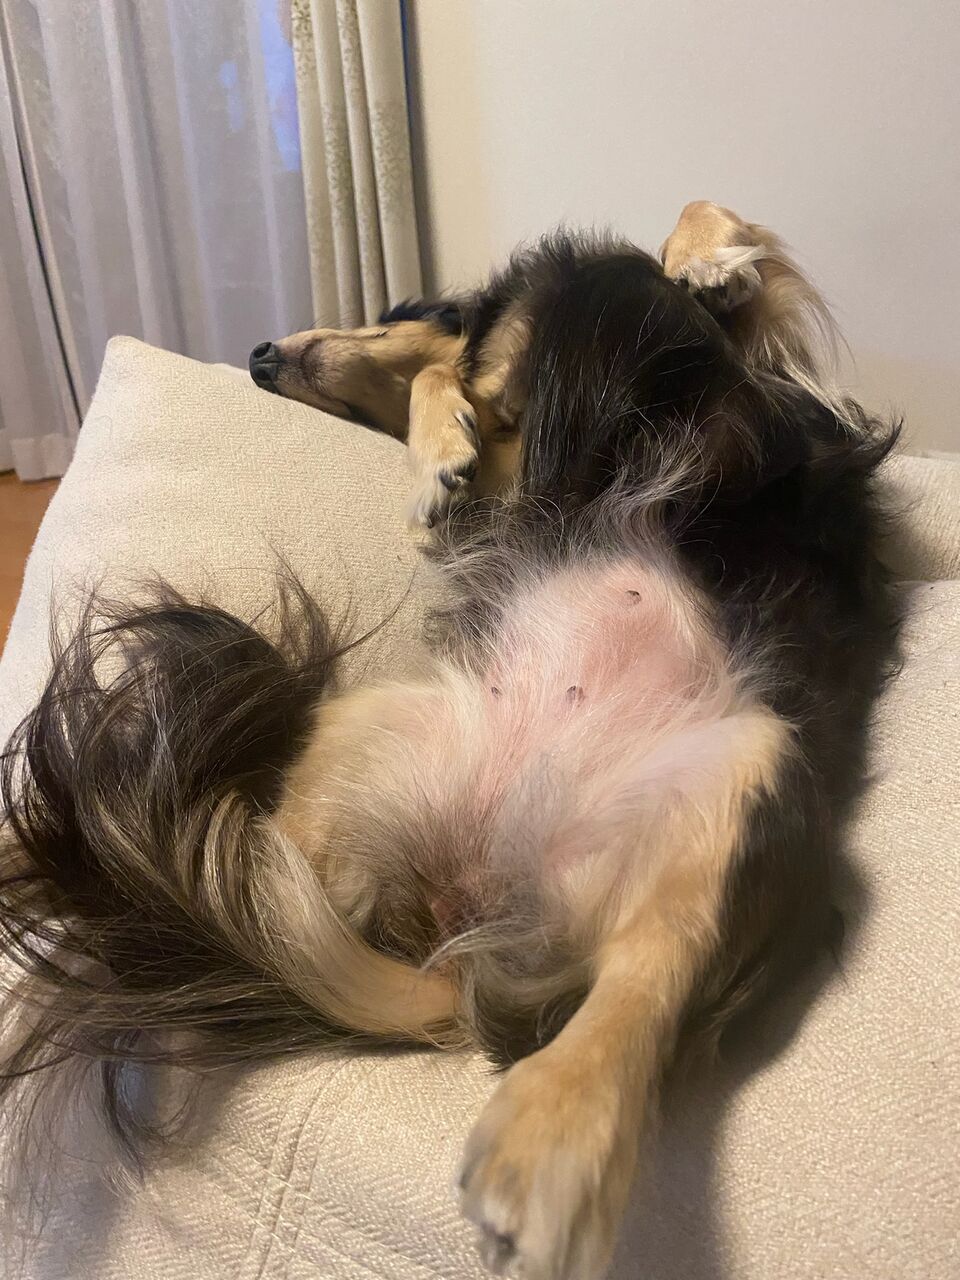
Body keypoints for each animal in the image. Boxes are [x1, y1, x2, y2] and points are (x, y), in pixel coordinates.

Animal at [0, 203, 899, 1279]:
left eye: (383, 310)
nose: (258, 355)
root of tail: (471, 909)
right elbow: (464, 396)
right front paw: (442, 449)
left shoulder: (764, 367)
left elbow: (699, 228)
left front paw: (706, 262)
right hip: (371, 742)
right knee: (249, 889)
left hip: (749, 772)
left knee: (646, 977)